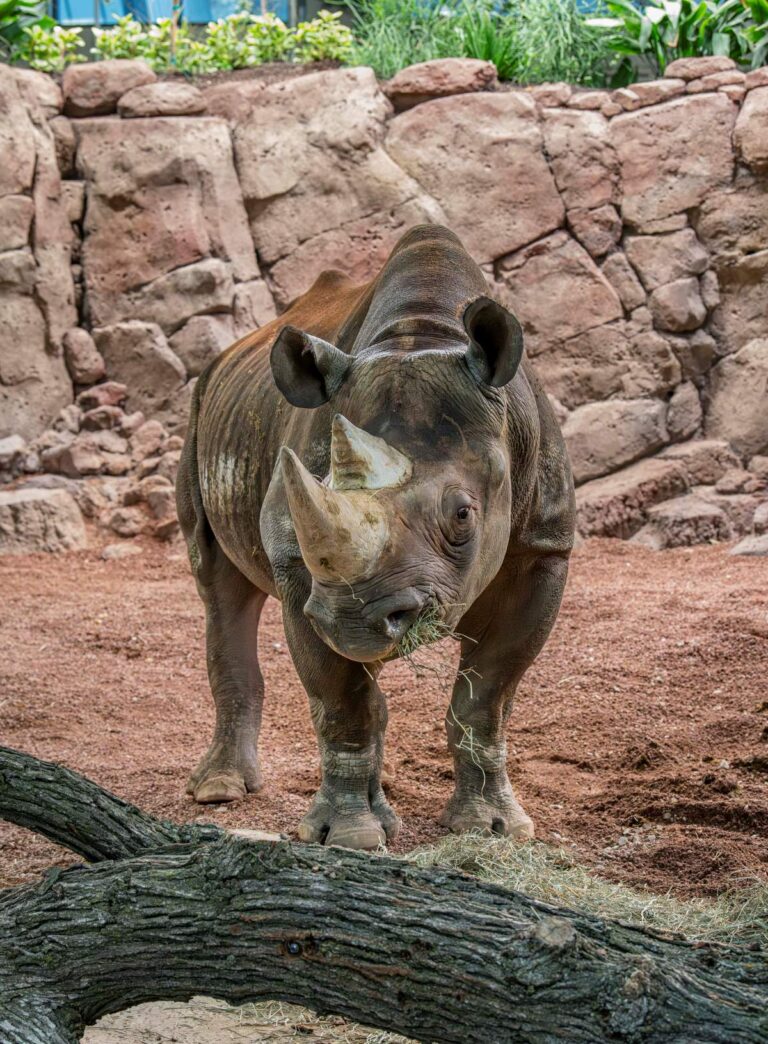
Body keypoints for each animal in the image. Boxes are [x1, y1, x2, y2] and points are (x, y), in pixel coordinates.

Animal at [177, 225, 575, 851]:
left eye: (464, 515)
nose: (355, 620)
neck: (421, 337)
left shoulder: (543, 548)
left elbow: (486, 698)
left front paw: (493, 828)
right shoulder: (303, 570)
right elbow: (342, 701)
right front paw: (348, 837)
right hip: (195, 416)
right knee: (218, 586)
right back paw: (219, 790)